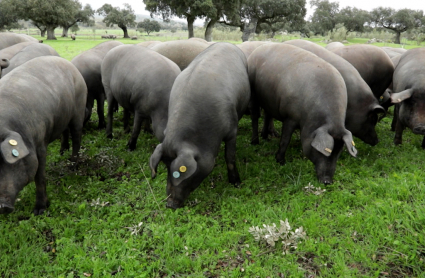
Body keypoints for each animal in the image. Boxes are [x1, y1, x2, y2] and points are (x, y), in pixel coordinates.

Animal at [0, 55, 86, 214]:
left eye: (7, 161)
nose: (2, 206)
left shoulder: (40, 143)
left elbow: (39, 177)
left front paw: (39, 210)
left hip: (79, 107)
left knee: (77, 137)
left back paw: (72, 166)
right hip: (62, 115)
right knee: (65, 131)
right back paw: (62, 151)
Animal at [149, 43, 250, 208]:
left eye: (178, 173)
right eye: (165, 166)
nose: (170, 204)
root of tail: (225, 43)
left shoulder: (232, 130)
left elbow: (230, 157)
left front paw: (236, 183)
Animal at [250, 43, 356, 185]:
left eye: (338, 151)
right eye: (325, 152)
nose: (327, 181)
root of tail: (258, 48)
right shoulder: (290, 116)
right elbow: (285, 140)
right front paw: (280, 161)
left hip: (268, 100)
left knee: (267, 115)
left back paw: (266, 137)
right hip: (254, 94)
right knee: (255, 116)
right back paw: (255, 142)